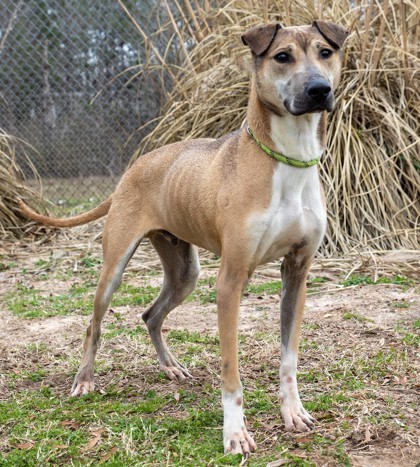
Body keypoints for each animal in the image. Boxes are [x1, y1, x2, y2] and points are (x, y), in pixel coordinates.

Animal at [18, 22, 348, 458]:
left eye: (326, 52)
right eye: (282, 56)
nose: (318, 90)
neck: (288, 159)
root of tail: (132, 168)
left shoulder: (297, 273)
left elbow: (289, 358)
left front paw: (292, 412)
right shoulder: (230, 282)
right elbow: (230, 371)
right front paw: (235, 433)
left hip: (184, 274)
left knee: (151, 316)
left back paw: (170, 366)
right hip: (114, 270)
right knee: (94, 325)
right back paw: (84, 380)